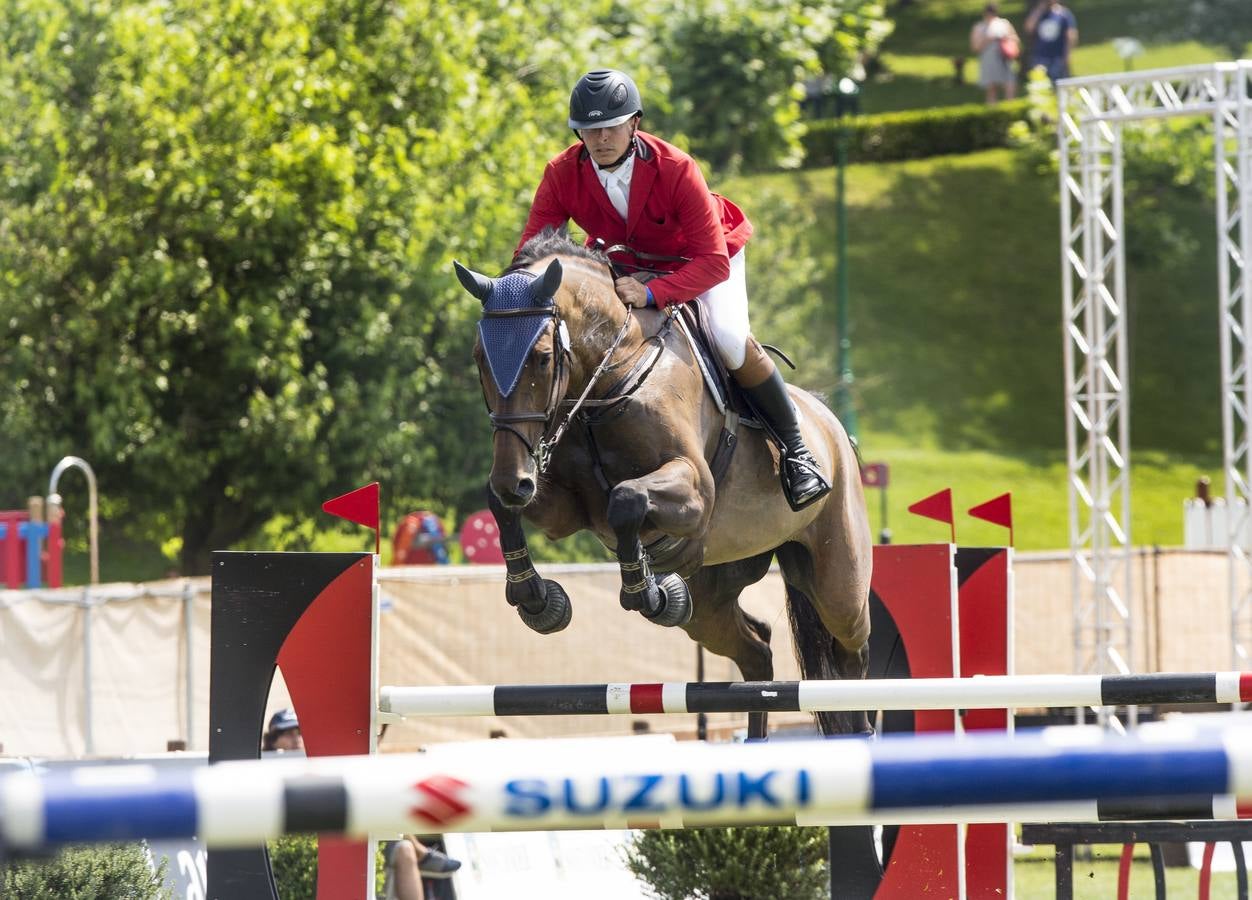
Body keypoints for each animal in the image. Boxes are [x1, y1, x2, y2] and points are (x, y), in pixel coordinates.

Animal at [455, 230, 876, 741]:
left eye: (541, 358)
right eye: (479, 359)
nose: (513, 478)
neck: (611, 376)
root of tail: (833, 426)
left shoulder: (695, 491)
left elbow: (626, 498)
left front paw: (648, 592)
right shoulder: (561, 510)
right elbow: (504, 507)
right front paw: (535, 598)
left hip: (838, 583)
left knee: (850, 655)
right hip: (712, 599)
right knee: (756, 651)